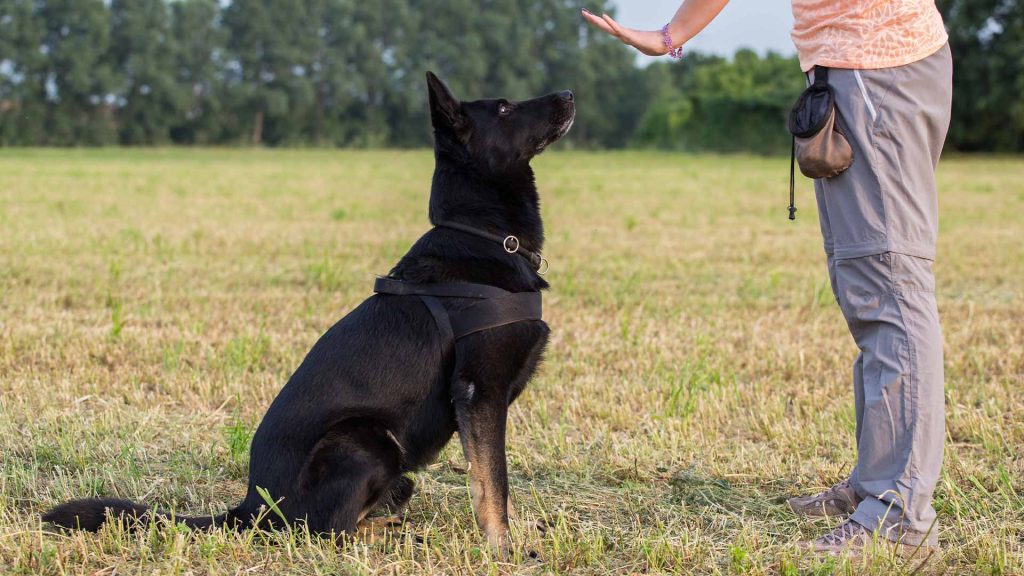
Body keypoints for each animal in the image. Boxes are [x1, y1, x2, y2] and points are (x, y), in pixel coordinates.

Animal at [44, 71, 573, 545]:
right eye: (503, 108)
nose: (568, 94)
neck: (483, 235)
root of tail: (249, 508)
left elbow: (493, 479)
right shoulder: (479, 393)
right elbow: (492, 481)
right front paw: (503, 546)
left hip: (397, 470)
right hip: (366, 441)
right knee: (325, 530)